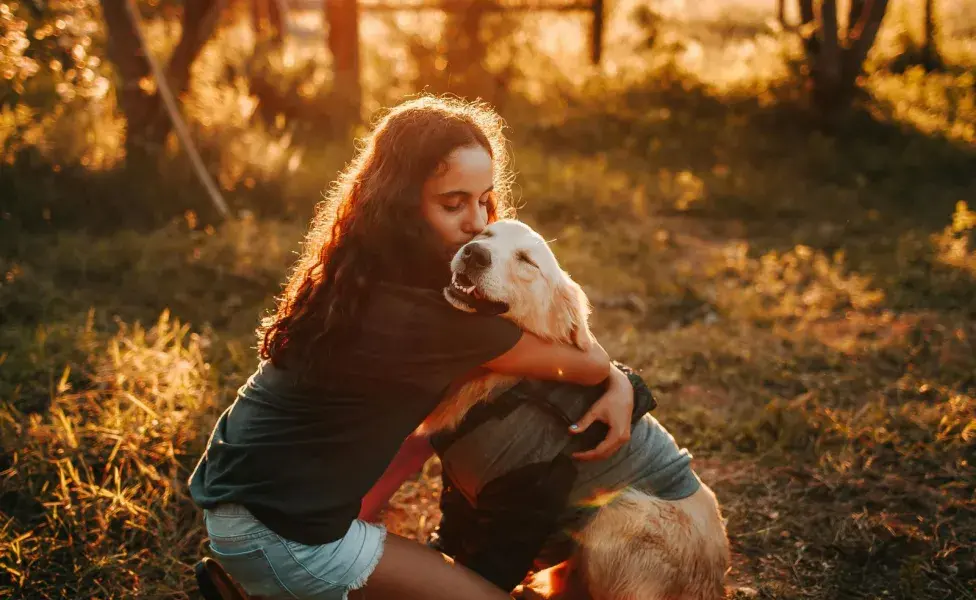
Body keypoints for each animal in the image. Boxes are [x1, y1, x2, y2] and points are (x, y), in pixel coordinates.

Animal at [416, 220, 728, 600]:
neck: (511, 386)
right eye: (485, 235)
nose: (475, 253)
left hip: (620, 512)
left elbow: (488, 567)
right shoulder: (459, 489)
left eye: (527, 261)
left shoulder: (522, 503)